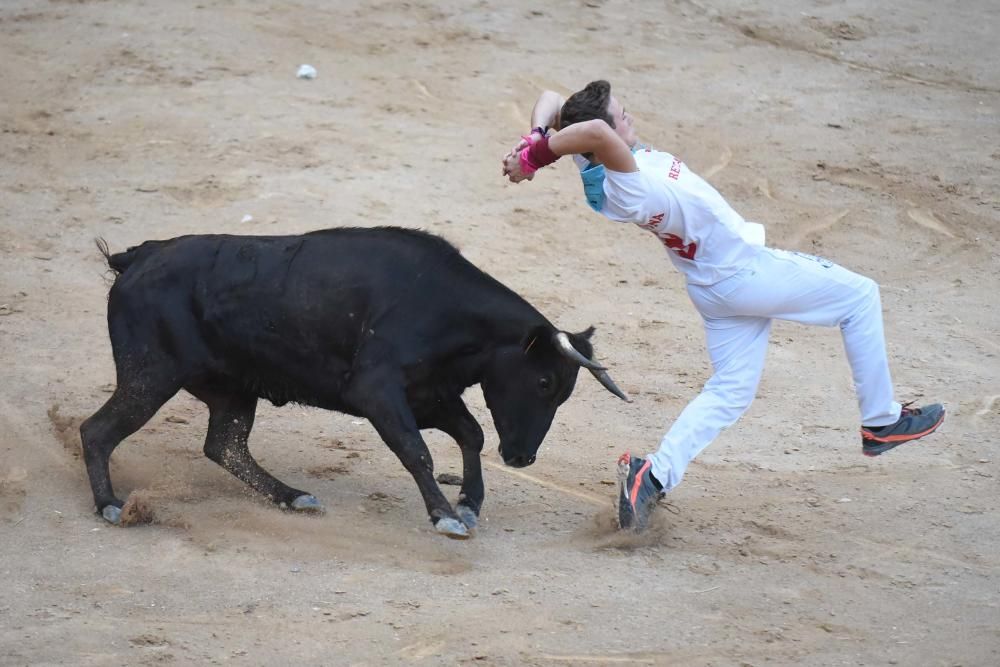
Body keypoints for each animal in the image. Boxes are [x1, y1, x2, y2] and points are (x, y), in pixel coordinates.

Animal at [82, 227, 624, 540]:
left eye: (562, 390)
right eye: (543, 380)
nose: (523, 459)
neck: (446, 310)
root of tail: (139, 258)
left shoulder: (429, 394)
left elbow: (471, 434)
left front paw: (468, 503)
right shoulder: (377, 392)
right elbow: (418, 452)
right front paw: (445, 515)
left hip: (231, 389)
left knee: (225, 445)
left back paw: (293, 497)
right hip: (149, 375)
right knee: (98, 431)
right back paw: (111, 506)